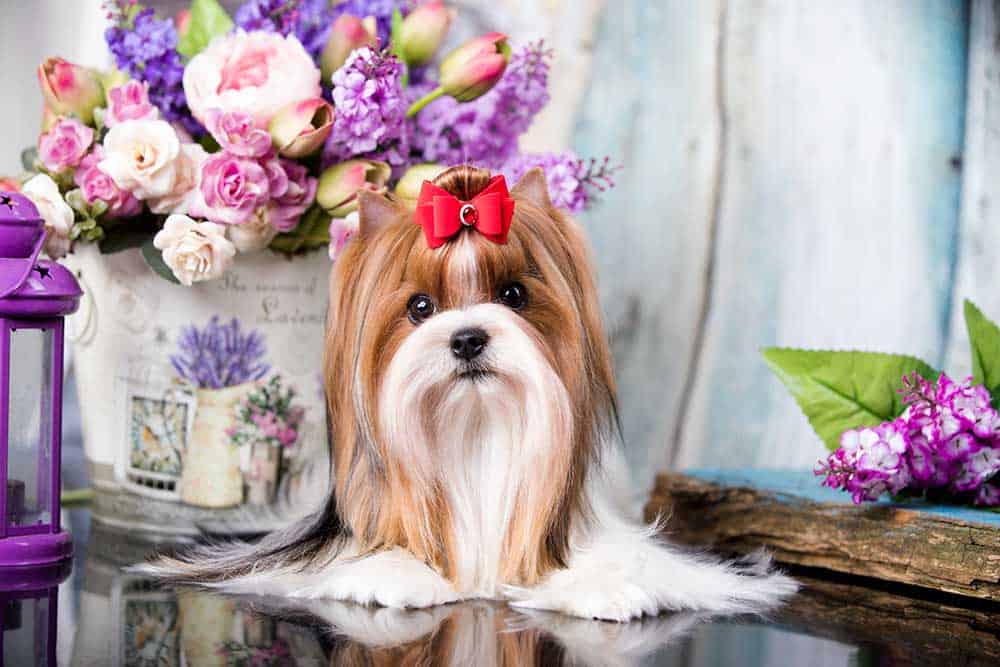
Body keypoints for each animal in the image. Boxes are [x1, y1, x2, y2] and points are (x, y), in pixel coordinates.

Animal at [141, 166, 796, 620]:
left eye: (513, 295)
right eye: (419, 307)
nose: (467, 339)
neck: (477, 430)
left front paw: (603, 586)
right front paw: (394, 574)